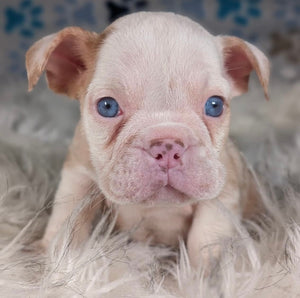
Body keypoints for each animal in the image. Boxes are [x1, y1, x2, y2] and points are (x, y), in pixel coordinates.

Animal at [26, 12, 270, 268]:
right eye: (107, 107)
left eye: (215, 105)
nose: (168, 145)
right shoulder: (79, 174)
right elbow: (68, 214)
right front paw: (54, 257)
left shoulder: (221, 194)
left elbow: (205, 236)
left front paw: (201, 273)